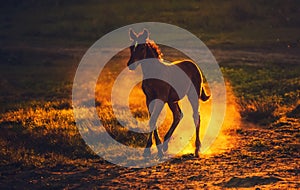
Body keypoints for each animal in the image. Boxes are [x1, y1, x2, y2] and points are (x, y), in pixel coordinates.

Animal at [126, 29, 209, 158]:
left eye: (142, 47)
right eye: (131, 47)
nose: (131, 65)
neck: (154, 73)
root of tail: (193, 64)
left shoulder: (161, 98)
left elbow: (153, 119)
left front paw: (157, 150)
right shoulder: (149, 99)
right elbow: (152, 120)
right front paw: (149, 149)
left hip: (192, 94)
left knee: (196, 116)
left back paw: (196, 149)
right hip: (172, 100)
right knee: (178, 115)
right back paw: (165, 145)